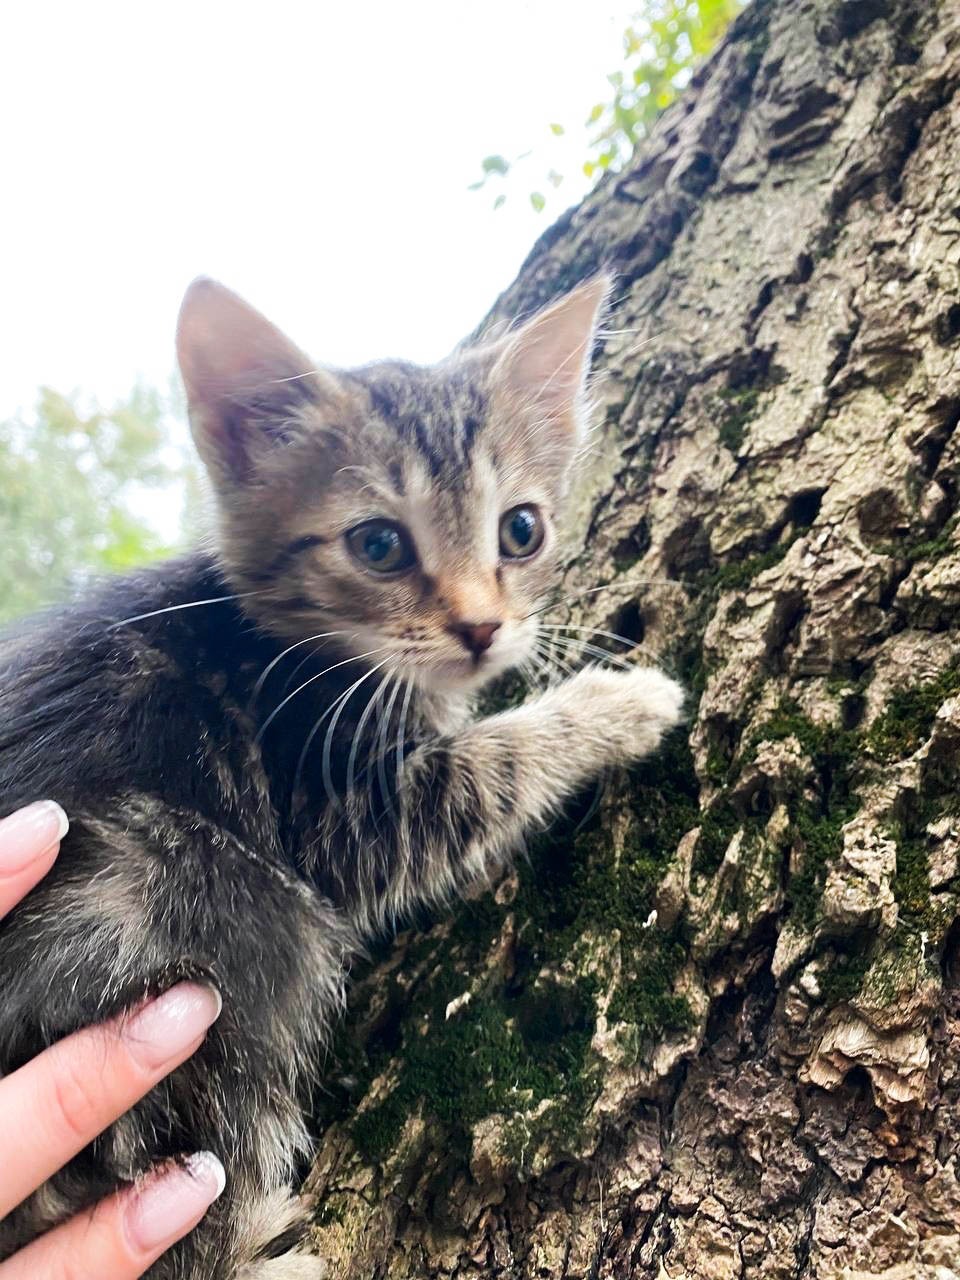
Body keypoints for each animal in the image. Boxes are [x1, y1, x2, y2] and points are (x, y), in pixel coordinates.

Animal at [0, 275, 686, 1274]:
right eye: (379, 546)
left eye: (522, 530)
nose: (483, 628)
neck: (300, 645)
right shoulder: (329, 805)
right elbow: (488, 766)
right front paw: (618, 704)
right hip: (204, 901)